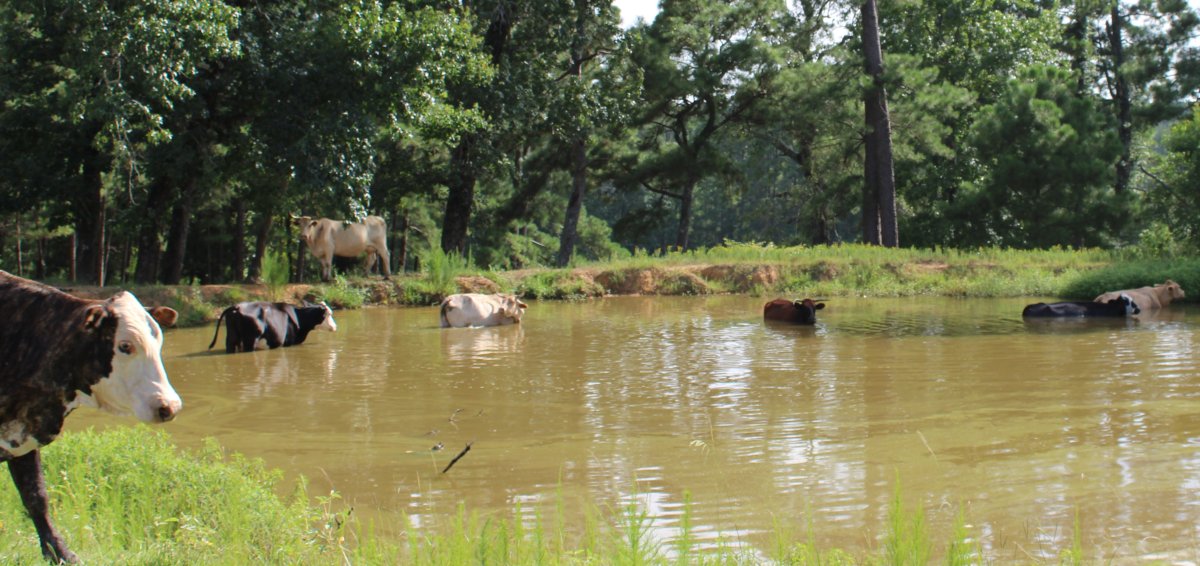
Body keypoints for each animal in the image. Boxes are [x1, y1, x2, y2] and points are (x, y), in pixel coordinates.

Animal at [0, 271, 181, 563]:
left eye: (158, 342)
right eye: (125, 345)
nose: (170, 406)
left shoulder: (21, 435)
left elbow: (36, 496)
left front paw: (60, 553)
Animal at [208, 301, 337, 354]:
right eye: (329, 314)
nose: (335, 327)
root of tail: (237, 306)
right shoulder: (288, 342)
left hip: (231, 339)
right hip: (250, 341)